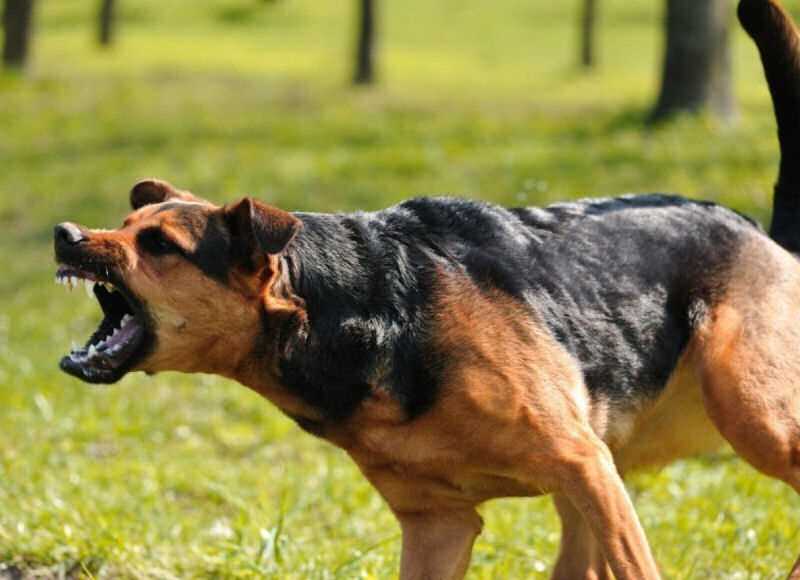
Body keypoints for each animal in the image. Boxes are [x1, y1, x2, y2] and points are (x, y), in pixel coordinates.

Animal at [51, 2, 800, 576]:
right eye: (125, 224)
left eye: (158, 244)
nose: (64, 233)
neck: (360, 312)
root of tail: (764, 234)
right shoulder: (441, 523)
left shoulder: (581, 465)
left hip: (749, 415)